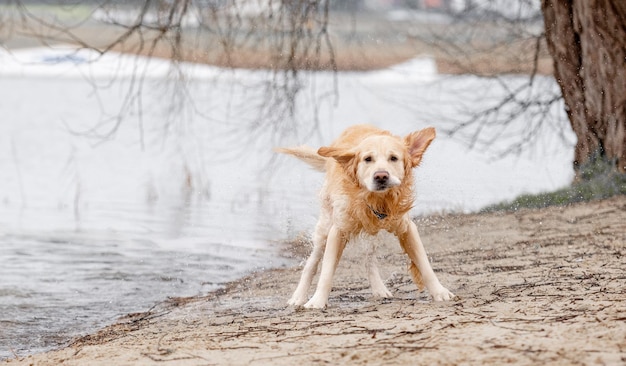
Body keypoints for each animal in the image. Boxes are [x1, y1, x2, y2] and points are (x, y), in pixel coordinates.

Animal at [276, 124, 450, 308]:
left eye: (393, 158)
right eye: (368, 159)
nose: (381, 176)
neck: (377, 200)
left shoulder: (406, 228)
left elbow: (425, 264)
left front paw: (440, 292)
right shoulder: (338, 230)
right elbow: (326, 272)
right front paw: (317, 301)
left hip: (372, 234)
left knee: (369, 261)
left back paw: (379, 289)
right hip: (324, 228)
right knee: (312, 263)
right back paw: (298, 296)